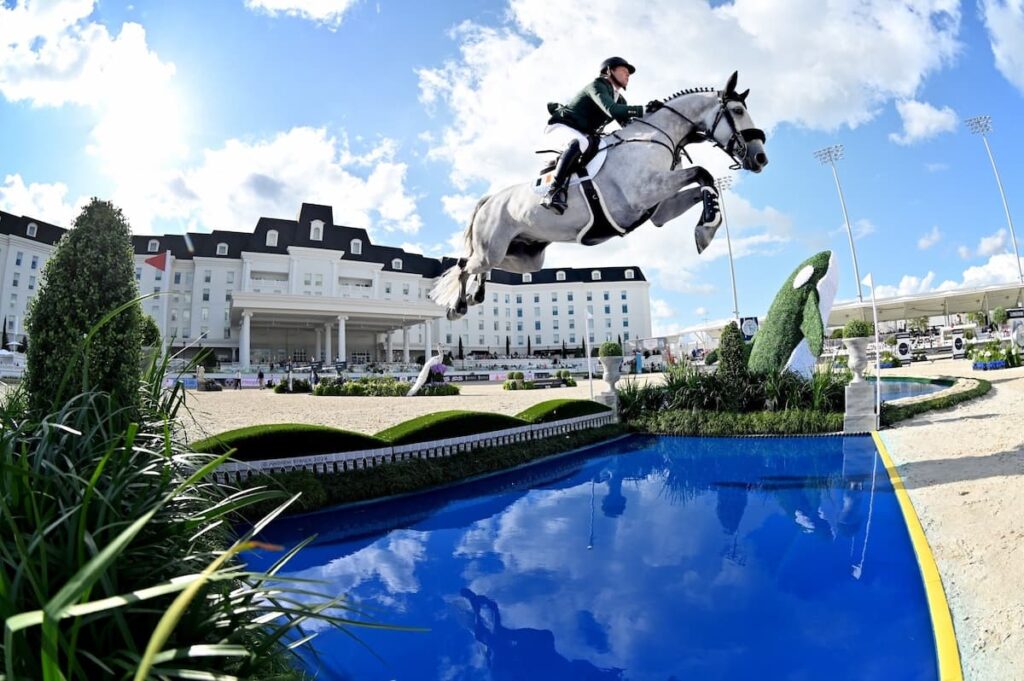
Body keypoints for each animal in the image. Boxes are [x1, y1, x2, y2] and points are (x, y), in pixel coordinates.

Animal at [432, 73, 770, 319]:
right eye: (737, 111)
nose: (760, 158)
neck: (654, 137)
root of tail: (490, 200)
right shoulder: (643, 194)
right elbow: (703, 173)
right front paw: (707, 227)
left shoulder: (658, 210)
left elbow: (703, 183)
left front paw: (706, 227)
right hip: (493, 247)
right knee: (465, 264)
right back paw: (458, 305)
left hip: (525, 256)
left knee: (483, 266)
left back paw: (476, 295)